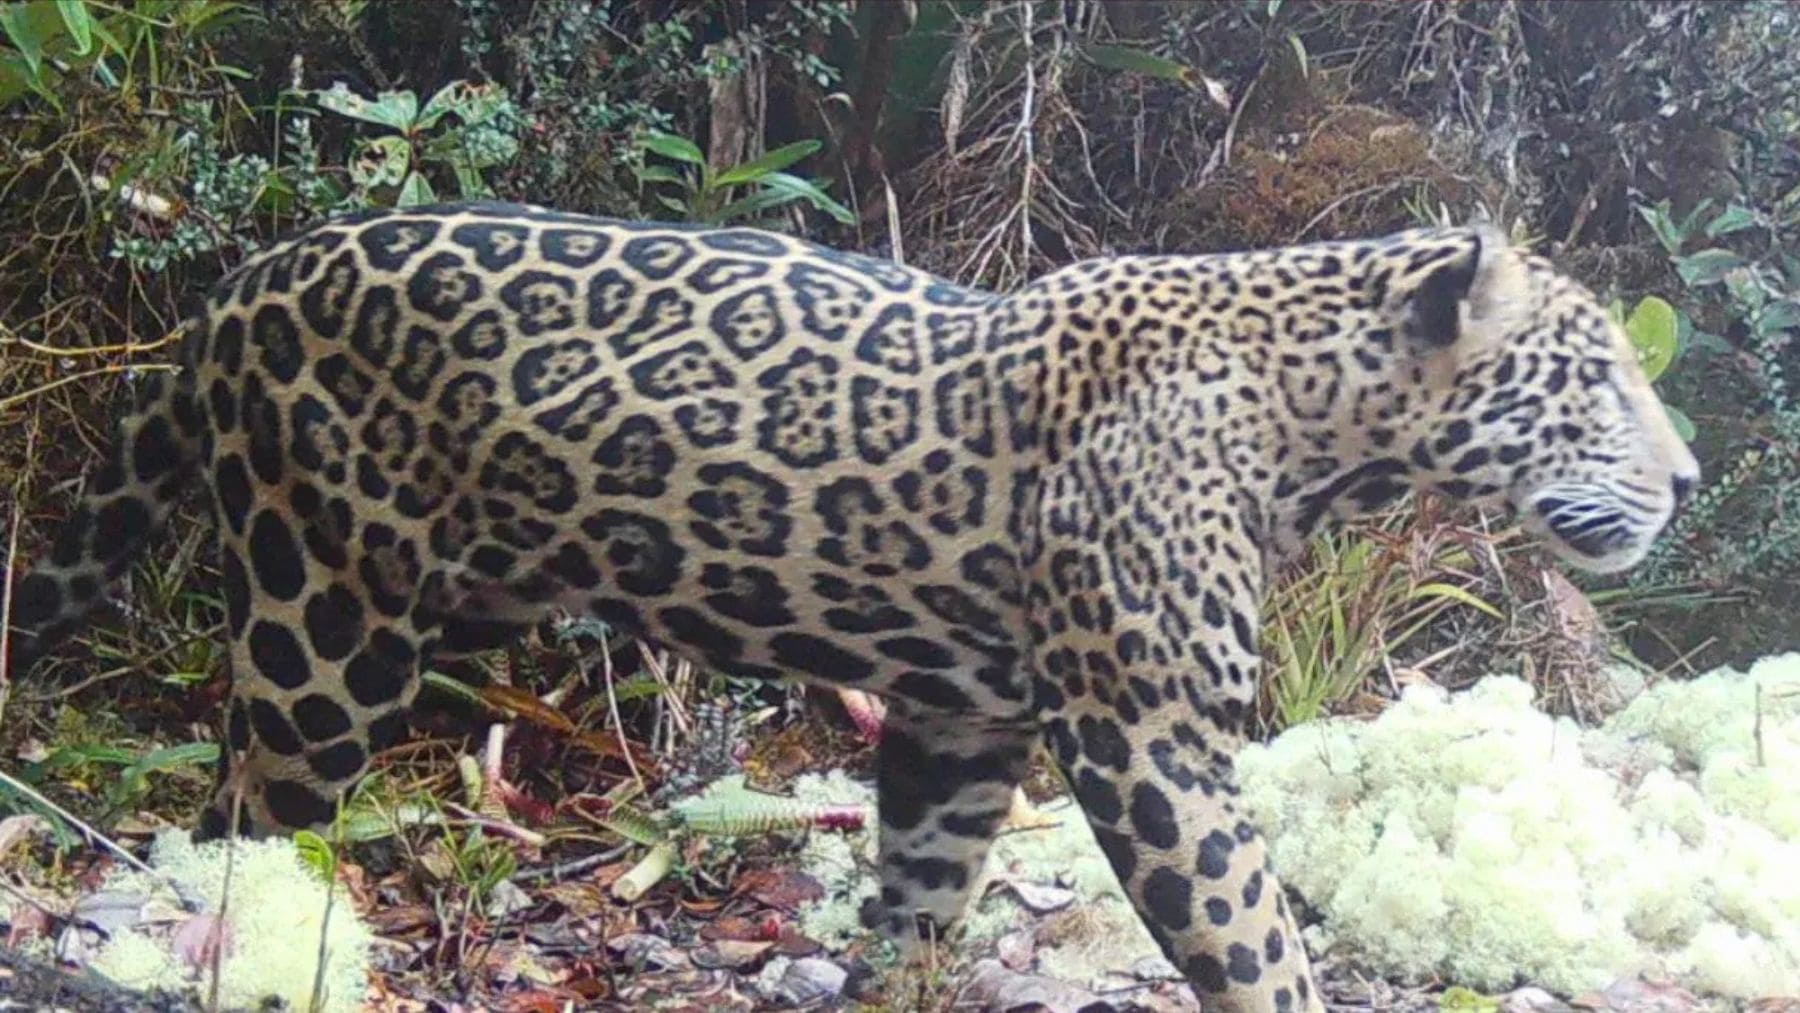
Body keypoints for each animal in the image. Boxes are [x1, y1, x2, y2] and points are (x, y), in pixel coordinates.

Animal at [1, 201, 1698, 1011]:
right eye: (1599, 376)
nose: (1686, 481)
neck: (1312, 428)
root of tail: (235, 285)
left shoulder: (962, 721)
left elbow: (920, 906)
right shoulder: (1149, 736)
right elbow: (1256, 945)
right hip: (327, 619)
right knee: (244, 826)